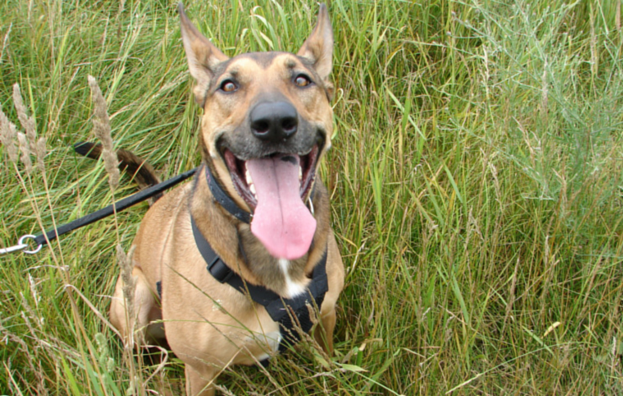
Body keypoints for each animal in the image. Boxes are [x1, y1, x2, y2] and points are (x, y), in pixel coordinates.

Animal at [104, 3, 344, 396]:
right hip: (133, 297)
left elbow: (328, 362)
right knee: (131, 354)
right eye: (228, 86)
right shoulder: (200, 370)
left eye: (302, 80)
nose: (274, 121)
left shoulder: (325, 315)